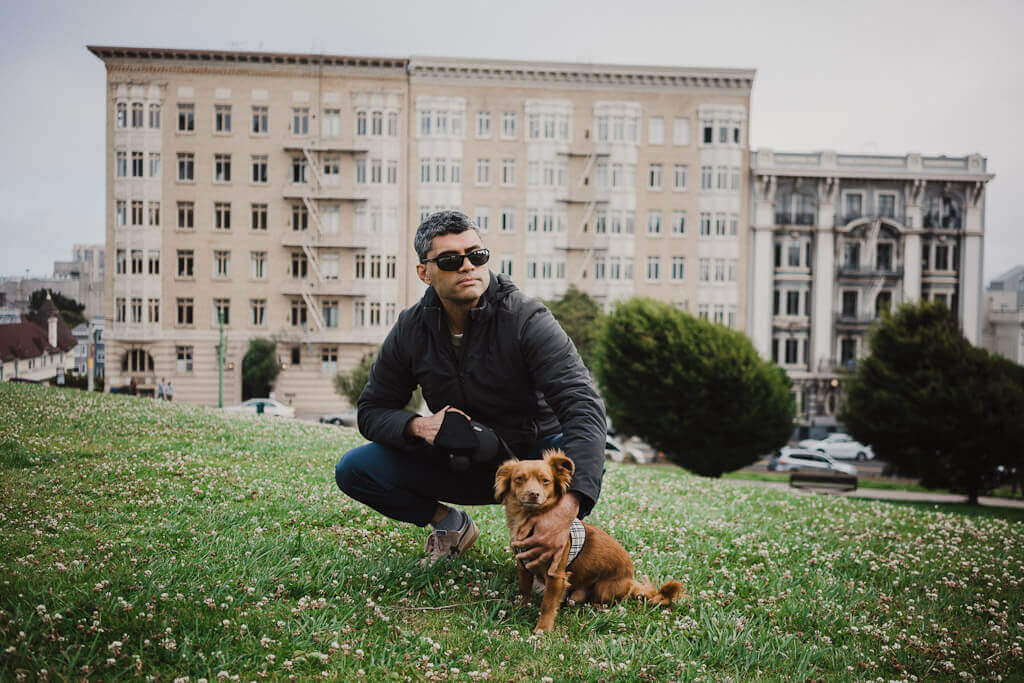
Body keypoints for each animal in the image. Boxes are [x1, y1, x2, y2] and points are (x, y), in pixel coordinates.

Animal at [491, 450, 684, 634]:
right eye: (519, 479)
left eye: (545, 480)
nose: (533, 494)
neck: (528, 519)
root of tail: (631, 579)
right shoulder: (523, 566)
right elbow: (524, 590)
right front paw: (521, 609)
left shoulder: (556, 575)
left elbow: (548, 605)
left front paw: (542, 629)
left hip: (604, 588)